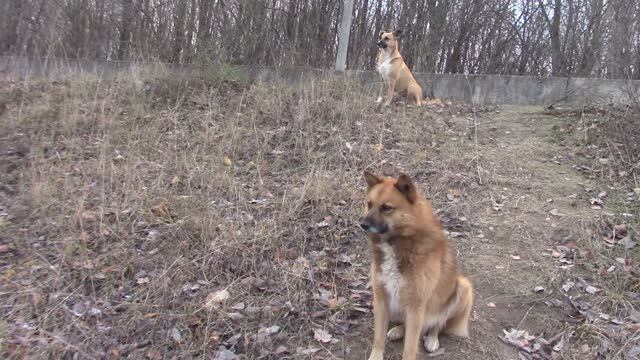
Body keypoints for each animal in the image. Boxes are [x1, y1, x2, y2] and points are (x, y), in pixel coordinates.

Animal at [362, 172, 472, 360]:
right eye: (369, 204)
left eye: (386, 208)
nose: (362, 224)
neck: (399, 244)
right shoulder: (381, 299)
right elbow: (378, 338)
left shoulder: (416, 307)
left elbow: (410, 347)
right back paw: (398, 331)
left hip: (463, 287)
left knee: (437, 324)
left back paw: (432, 338)